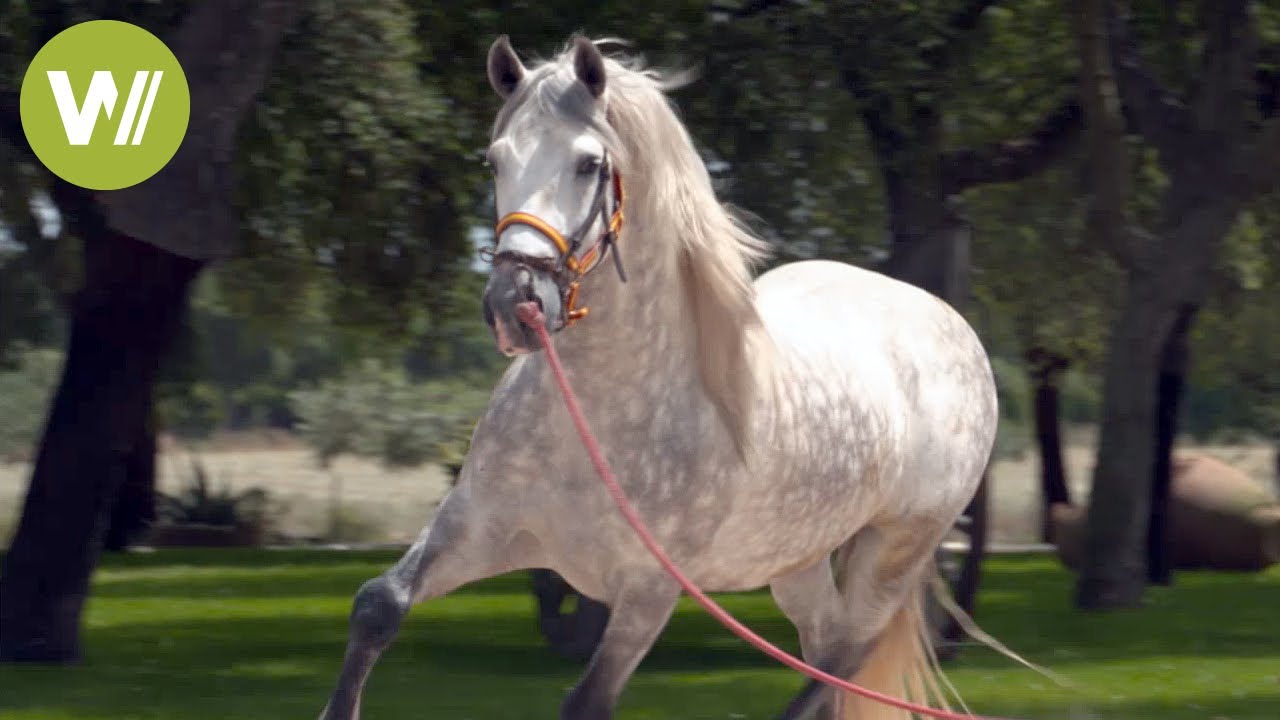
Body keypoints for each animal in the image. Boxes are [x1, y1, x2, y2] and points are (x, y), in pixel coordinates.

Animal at [318, 35, 998, 720]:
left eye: (589, 163)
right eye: (493, 161)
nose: (514, 303)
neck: (596, 416)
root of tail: (952, 326)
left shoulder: (647, 591)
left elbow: (588, 701)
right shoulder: (477, 528)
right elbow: (378, 606)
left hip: (894, 551)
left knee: (845, 659)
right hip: (797, 561)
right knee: (828, 650)